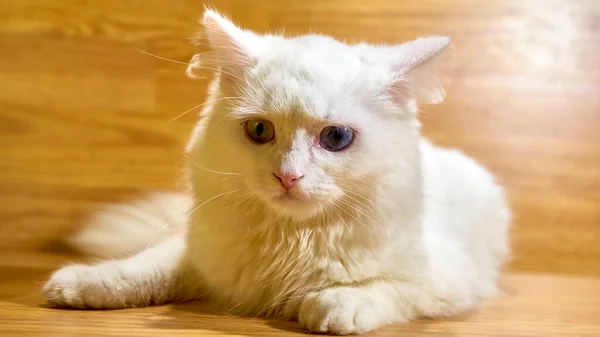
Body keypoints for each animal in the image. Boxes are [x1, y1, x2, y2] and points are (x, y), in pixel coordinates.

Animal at [43, 7, 510, 334]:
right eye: (259, 131)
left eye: (336, 137)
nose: (288, 176)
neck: (291, 240)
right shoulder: (201, 258)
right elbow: (139, 269)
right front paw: (76, 284)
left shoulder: (449, 280)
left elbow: (387, 288)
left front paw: (333, 305)